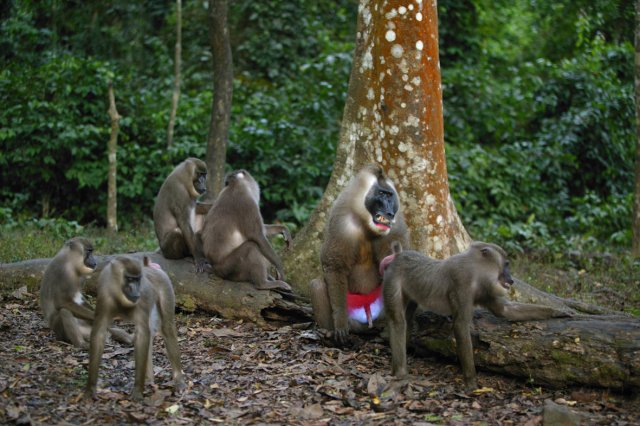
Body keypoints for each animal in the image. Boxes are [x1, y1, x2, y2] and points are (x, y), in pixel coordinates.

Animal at [85, 255, 185, 402]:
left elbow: (143, 335)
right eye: (129, 279)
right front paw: (90, 390)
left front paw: (137, 391)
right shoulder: (104, 297)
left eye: (138, 279)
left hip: (165, 288)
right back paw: (149, 380)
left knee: (166, 328)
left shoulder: (142, 300)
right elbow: (99, 333)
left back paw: (178, 381)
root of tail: (150, 267)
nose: (136, 290)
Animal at [310, 161, 410, 344]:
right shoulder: (340, 220)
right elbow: (335, 265)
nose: (389, 212)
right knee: (317, 285)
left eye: (390, 195)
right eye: (381, 194)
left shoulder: (396, 225)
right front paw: (340, 324)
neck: (365, 223)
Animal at [382, 240, 568, 390]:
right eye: (506, 264)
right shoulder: (462, 285)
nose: (511, 279)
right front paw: (471, 383)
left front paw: (558, 312)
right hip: (392, 280)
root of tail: (398, 255)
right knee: (398, 321)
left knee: (407, 318)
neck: (476, 271)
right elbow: (460, 324)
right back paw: (400, 373)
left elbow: (506, 311)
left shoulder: (485, 291)